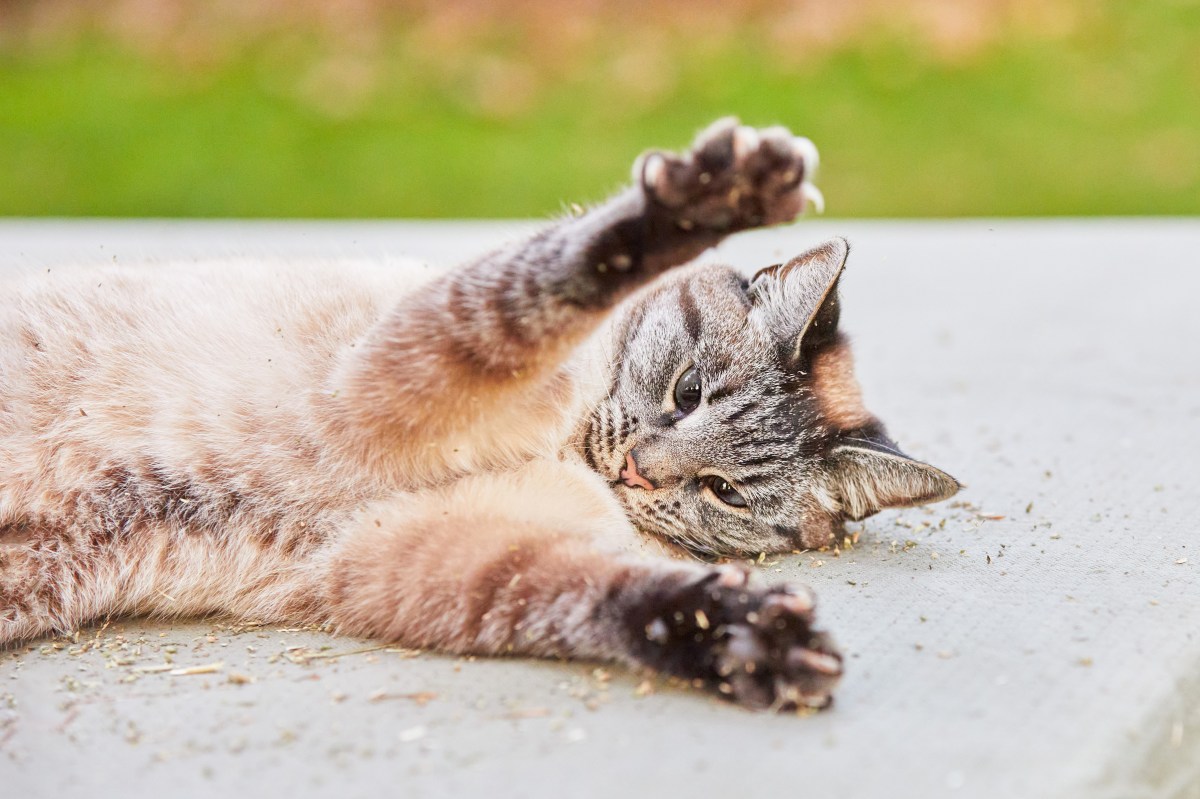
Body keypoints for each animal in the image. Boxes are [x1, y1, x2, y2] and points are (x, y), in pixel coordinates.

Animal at [0, 119, 960, 710]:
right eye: (687, 392)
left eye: (724, 490)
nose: (635, 472)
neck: (568, 449)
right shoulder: (398, 380)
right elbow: (557, 275)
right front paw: (711, 198)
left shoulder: (427, 554)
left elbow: (604, 596)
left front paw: (743, 640)